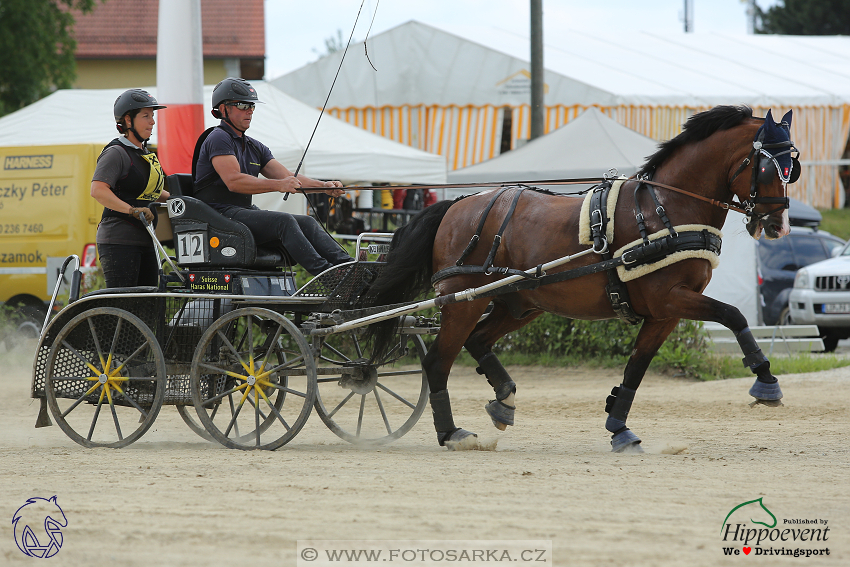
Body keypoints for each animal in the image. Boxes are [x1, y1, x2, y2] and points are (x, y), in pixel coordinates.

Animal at [362, 106, 796, 452]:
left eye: (792, 168)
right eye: (768, 167)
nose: (778, 226)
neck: (666, 209)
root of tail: (457, 204)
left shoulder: (666, 312)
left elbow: (637, 367)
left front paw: (619, 426)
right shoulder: (671, 297)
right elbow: (734, 314)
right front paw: (765, 380)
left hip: (520, 303)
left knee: (478, 340)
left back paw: (504, 399)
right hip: (464, 300)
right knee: (438, 361)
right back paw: (451, 432)